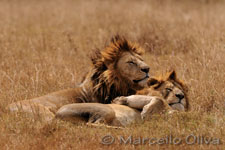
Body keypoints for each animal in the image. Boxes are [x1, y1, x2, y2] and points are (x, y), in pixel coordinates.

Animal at [55, 70, 189, 126]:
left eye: (182, 91)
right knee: (93, 124)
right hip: (107, 110)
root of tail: (57, 115)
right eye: (169, 89)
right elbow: (158, 100)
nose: (180, 96)